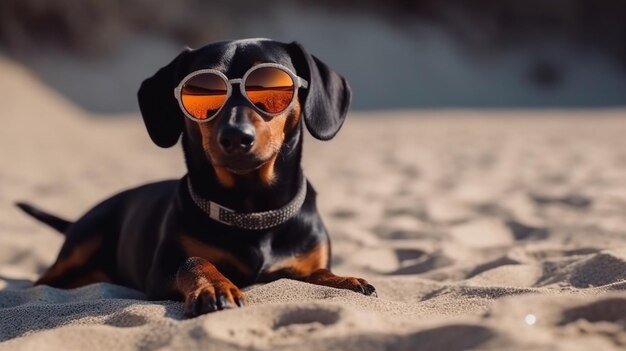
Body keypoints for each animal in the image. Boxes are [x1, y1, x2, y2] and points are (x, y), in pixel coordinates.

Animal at [15, 39, 376, 320]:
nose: (235, 136)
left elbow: (319, 272)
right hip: (85, 237)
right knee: (42, 282)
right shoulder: (159, 274)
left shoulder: (303, 263)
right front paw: (214, 286)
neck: (251, 211)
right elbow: (193, 261)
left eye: (275, 84)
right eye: (200, 92)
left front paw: (346, 280)